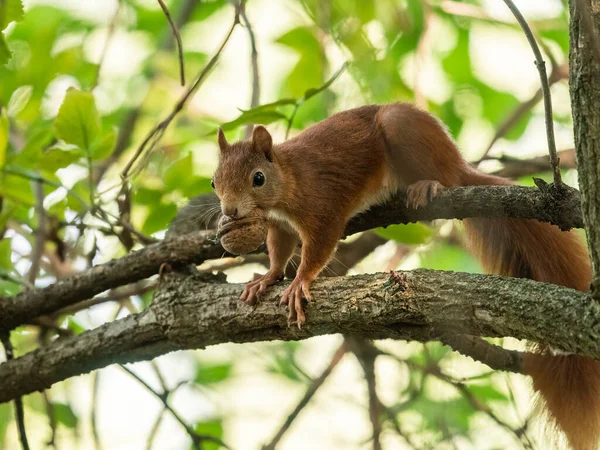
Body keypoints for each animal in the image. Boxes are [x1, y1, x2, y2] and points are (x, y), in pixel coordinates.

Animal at [211, 103, 600, 450]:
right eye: (214, 181)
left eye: (258, 178)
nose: (230, 211)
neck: (288, 178)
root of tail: (457, 161)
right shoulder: (278, 223)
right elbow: (279, 250)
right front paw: (268, 277)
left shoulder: (322, 207)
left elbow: (319, 246)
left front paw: (299, 282)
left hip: (406, 132)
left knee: (447, 178)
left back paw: (427, 185)